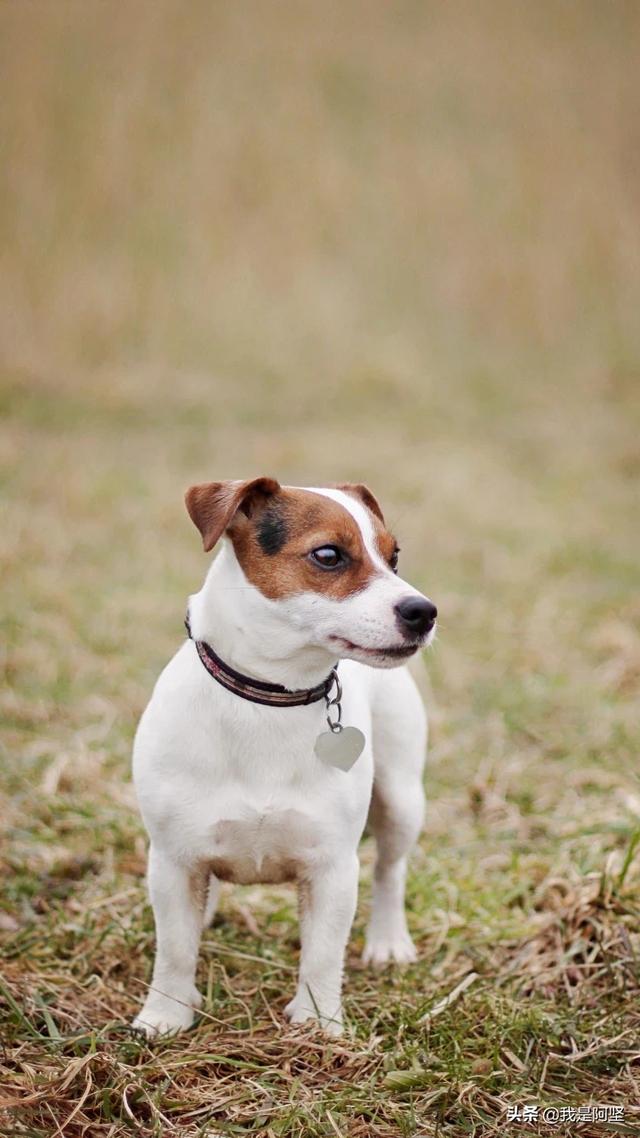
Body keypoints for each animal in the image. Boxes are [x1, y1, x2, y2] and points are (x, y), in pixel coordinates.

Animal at [132, 475, 435, 1037]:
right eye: (328, 555)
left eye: (394, 557)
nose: (423, 611)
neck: (270, 696)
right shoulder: (172, 861)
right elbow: (176, 948)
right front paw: (165, 1014)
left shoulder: (331, 867)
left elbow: (322, 954)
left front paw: (318, 1022)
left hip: (402, 799)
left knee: (390, 871)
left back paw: (388, 941)